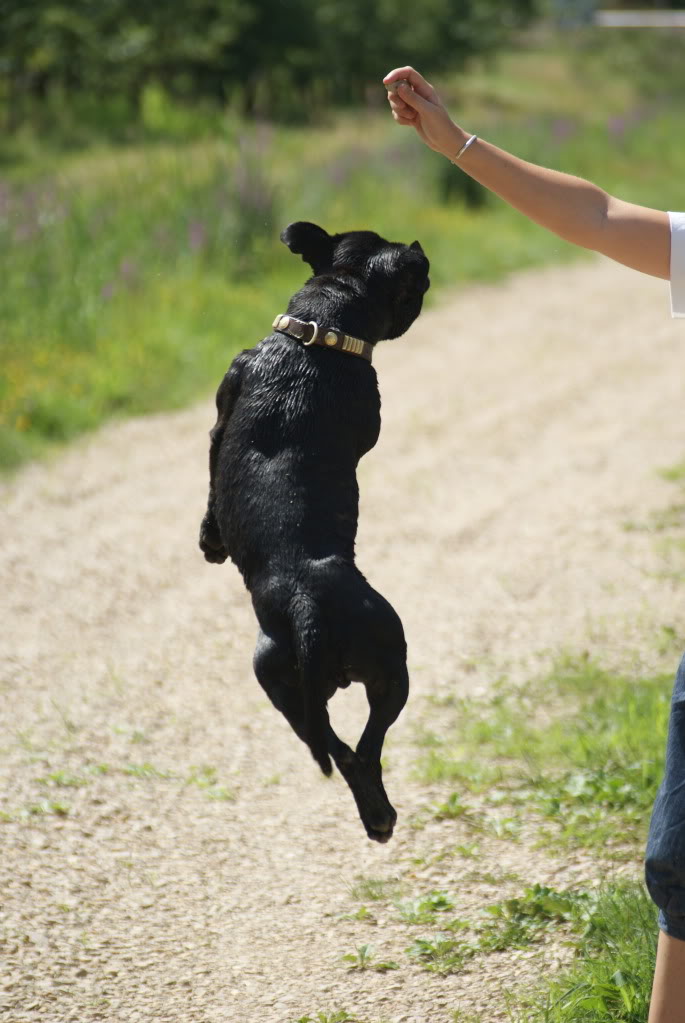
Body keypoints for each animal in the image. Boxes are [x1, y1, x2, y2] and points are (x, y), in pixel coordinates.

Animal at [198, 221, 429, 838]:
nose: (421, 255)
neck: (318, 333)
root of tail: (305, 606)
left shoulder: (221, 413)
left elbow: (211, 480)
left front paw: (209, 541)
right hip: (393, 662)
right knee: (366, 747)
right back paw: (383, 818)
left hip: (279, 681)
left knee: (336, 749)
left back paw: (373, 816)